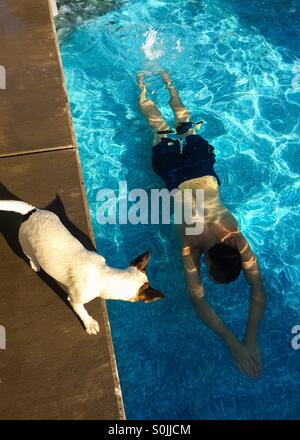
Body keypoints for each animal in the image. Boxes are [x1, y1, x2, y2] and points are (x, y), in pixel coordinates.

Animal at [0, 201, 164, 336]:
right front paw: (90, 324)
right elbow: (82, 311)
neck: (104, 274)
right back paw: (35, 264)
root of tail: (32, 211)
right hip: (25, 245)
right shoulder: (75, 300)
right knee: (29, 256)